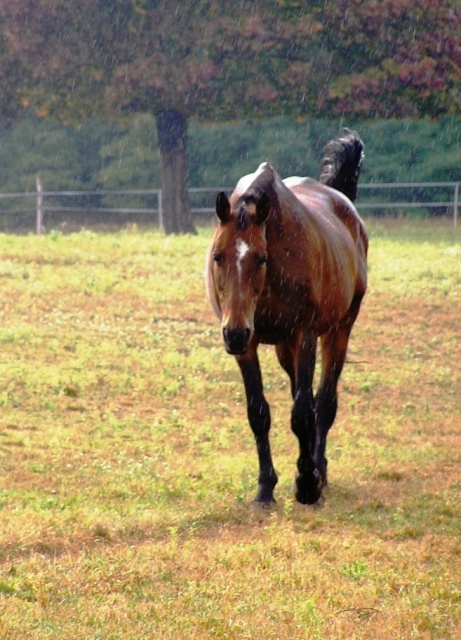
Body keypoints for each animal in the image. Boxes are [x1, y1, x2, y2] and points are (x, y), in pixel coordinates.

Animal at [205, 131, 366, 504]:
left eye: (261, 258)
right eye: (218, 256)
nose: (234, 333)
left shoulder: (304, 334)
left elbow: (304, 413)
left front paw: (307, 484)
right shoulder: (249, 347)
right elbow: (258, 413)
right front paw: (266, 488)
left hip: (338, 331)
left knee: (324, 404)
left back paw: (318, 472)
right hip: (282, 348)